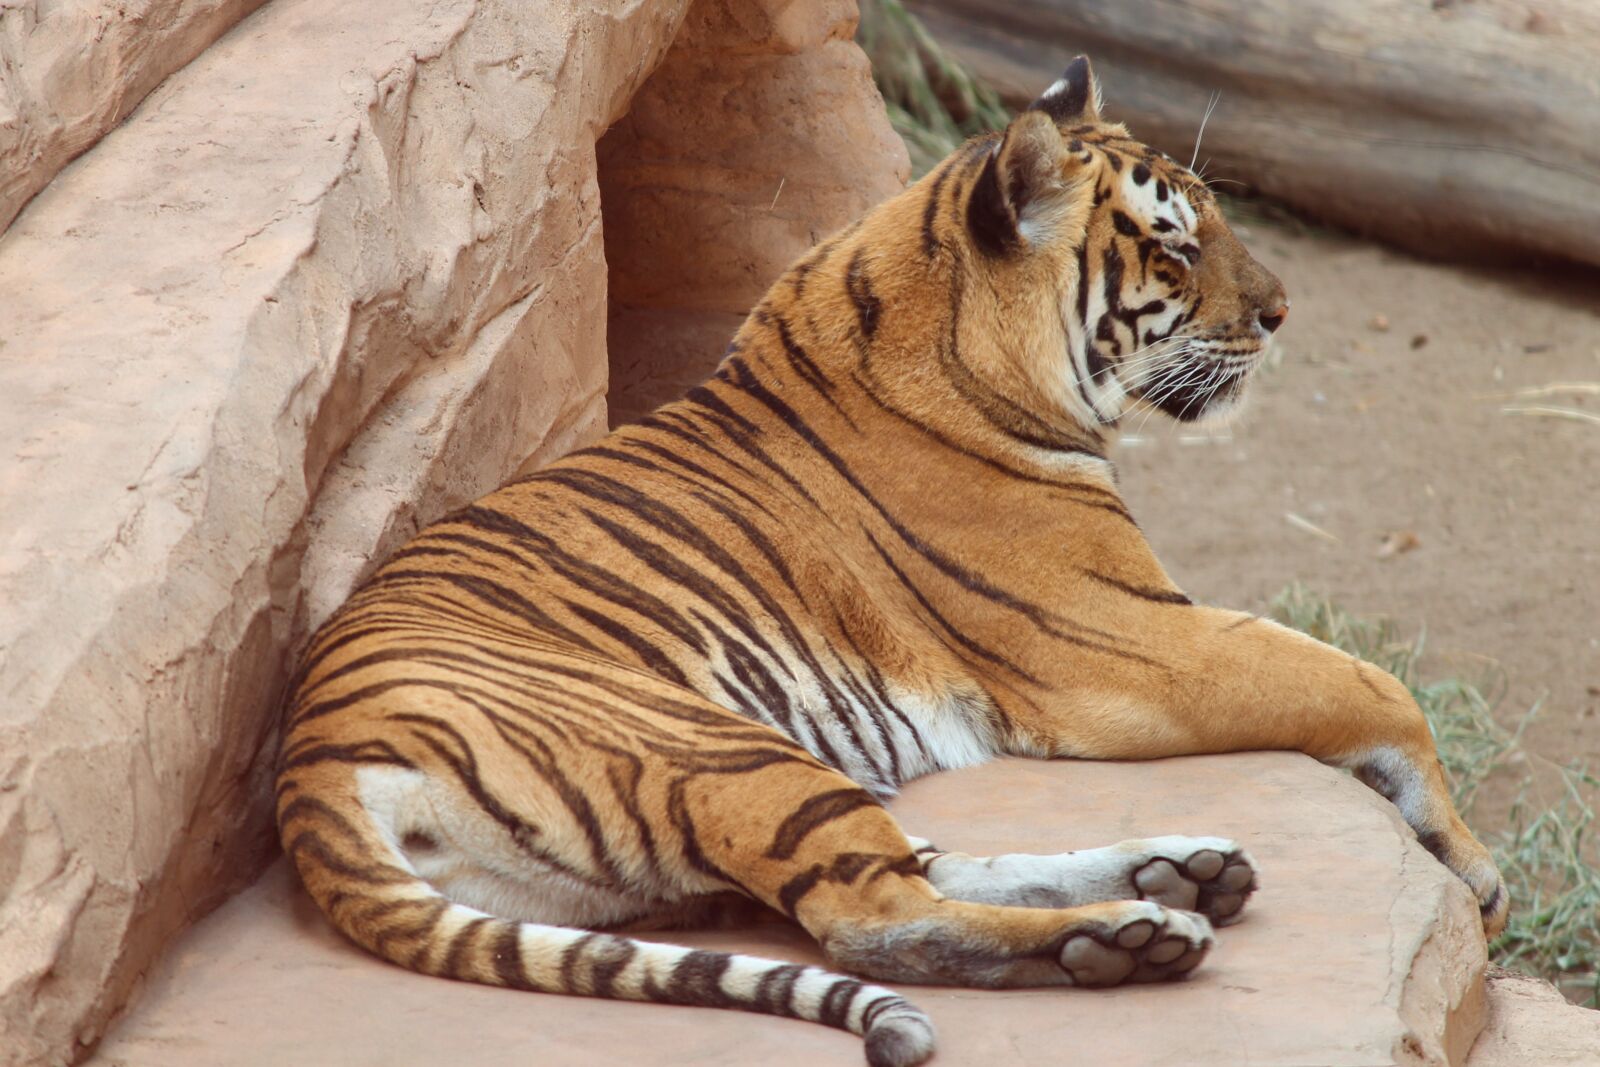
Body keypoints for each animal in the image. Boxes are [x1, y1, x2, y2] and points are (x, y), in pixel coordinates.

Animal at [276, 57, 1507, 1067]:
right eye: (1173, 242)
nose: (1281, 311)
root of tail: (308, 773)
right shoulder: (1129, 641)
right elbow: (1370, 683)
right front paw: (1470, 863)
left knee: (914, 863)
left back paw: (1177, 872)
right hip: (717, 746)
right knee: (880, 916)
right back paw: (1127, 935)